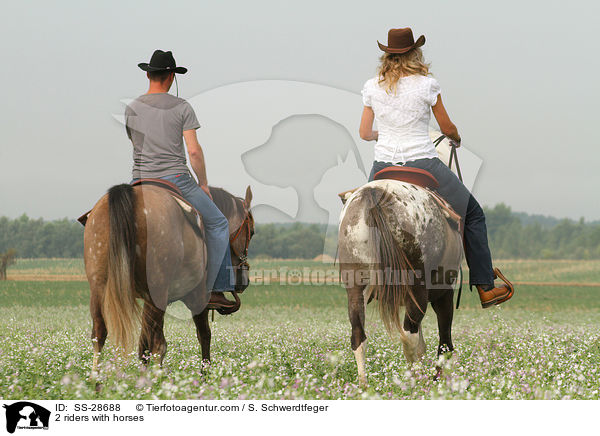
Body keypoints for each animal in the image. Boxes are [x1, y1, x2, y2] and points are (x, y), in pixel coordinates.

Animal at [82, 182, 253, 372]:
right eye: (251, 232)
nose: (243, 281)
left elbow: (143, 345)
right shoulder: (197, 298)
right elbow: (204, 336)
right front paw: (205, 374)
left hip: (99, 286)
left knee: (100, 334)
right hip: (158, 290)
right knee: (158, 344)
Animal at [338, 180, 464, 384]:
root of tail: (373, 192)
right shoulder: (444, 294)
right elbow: (444, 342)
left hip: (356, 289)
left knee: (358, 336)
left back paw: (363, 384)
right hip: (419, 291)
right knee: (409, 337)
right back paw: (417, 381)